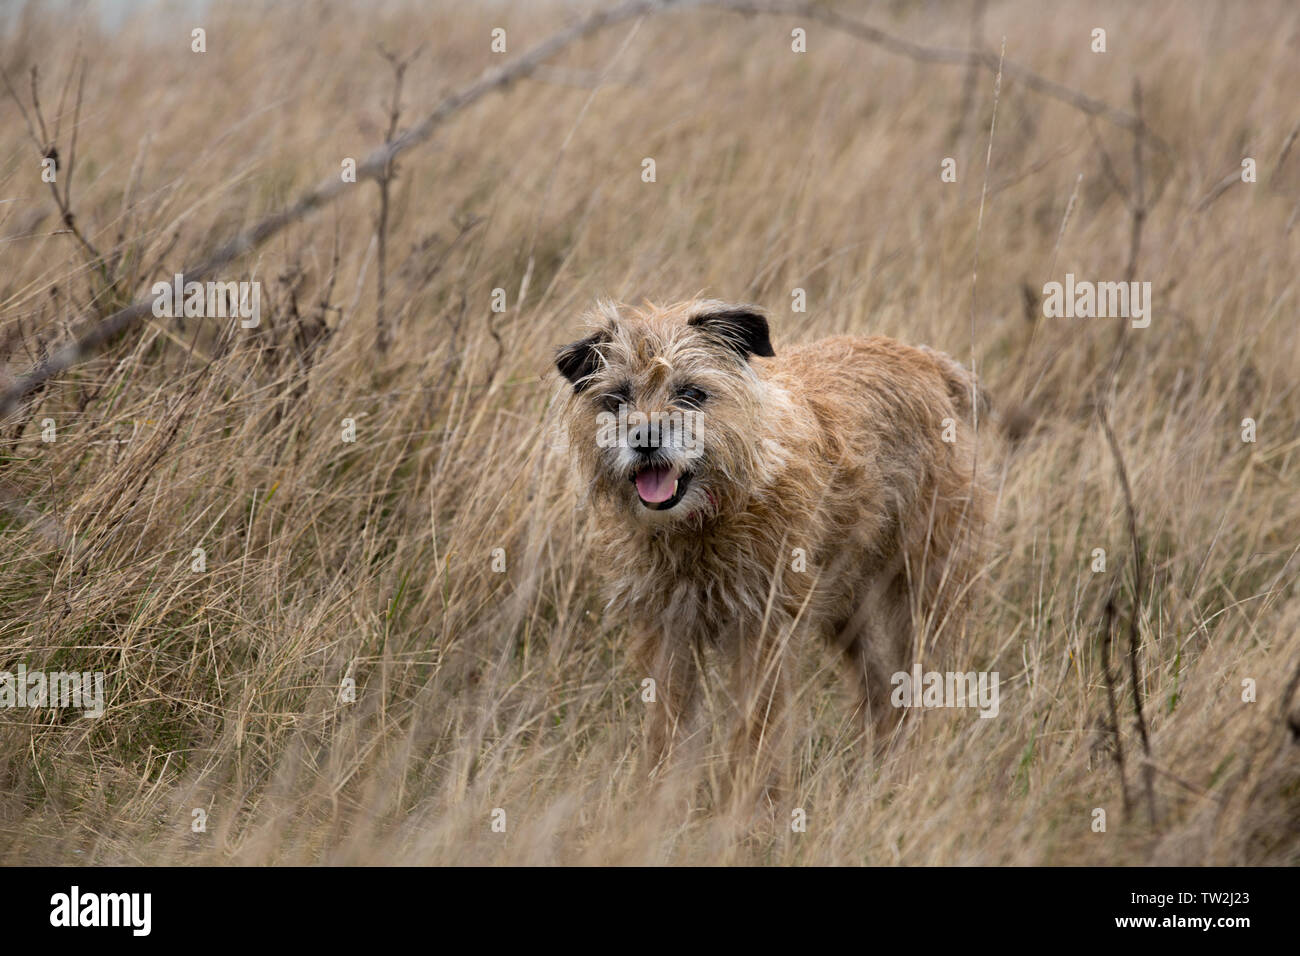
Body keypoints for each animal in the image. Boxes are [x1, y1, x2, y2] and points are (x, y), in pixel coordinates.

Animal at [553, 299, 987, 801]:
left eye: (691, 393)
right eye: (617, 399)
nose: (645, 439)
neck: (703, 522)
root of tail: (929, 361)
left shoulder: (761, 631)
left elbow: (756, 728)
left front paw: (749, 805)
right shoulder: (668, 630)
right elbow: (667, 724)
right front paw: (657, 800)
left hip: (928, 588)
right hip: (848, 609)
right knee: (880, 689)